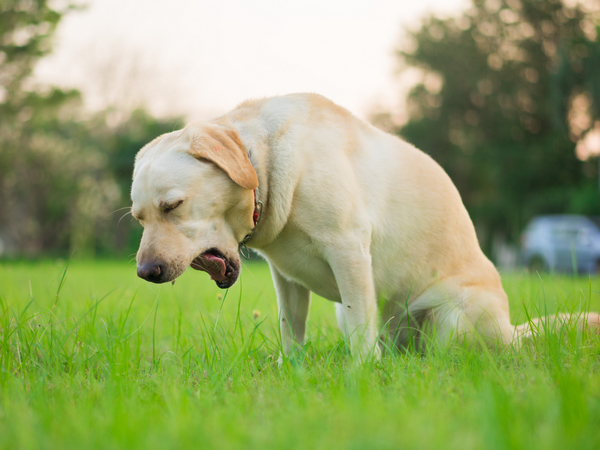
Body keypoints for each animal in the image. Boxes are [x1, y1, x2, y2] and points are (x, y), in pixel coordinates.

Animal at [129, 93, 596, 360]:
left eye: (173, 206)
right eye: (139, 217)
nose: (146, 273)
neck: (263, 161)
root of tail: (512, 334)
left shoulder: (348, 249)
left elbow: (358, 331)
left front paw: (359, 376)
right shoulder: (286, 278)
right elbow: (291, 330)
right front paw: (291, 370)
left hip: (453, 317)